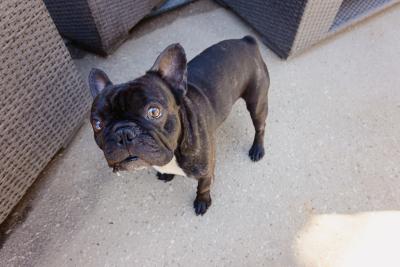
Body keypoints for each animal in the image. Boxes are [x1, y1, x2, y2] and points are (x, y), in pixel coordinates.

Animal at [89, 36, 270, 216]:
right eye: (97, 124)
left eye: (154, 111)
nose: (123, 133)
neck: (176, 150)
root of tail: (246, 41)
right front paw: (166, 175)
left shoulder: (206, 170)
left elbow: (203, 186)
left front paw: (202, 201)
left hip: (256, 103)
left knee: (260, 127)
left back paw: (257, 149)